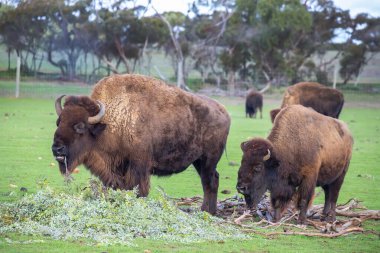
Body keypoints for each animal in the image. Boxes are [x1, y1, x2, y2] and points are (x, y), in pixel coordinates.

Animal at [50, 73, 230, 213]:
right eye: (59, 122)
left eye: (80, 126)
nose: (57, 149)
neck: (112, 121)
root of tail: (224, 111)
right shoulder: (116, 168)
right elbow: (118, 187)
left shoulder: (139, 166)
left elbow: (137, 189)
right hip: (198, 161)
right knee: (211, 181)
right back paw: (207, 210)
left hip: (208, 160)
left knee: (210, 181)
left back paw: (207, 211)